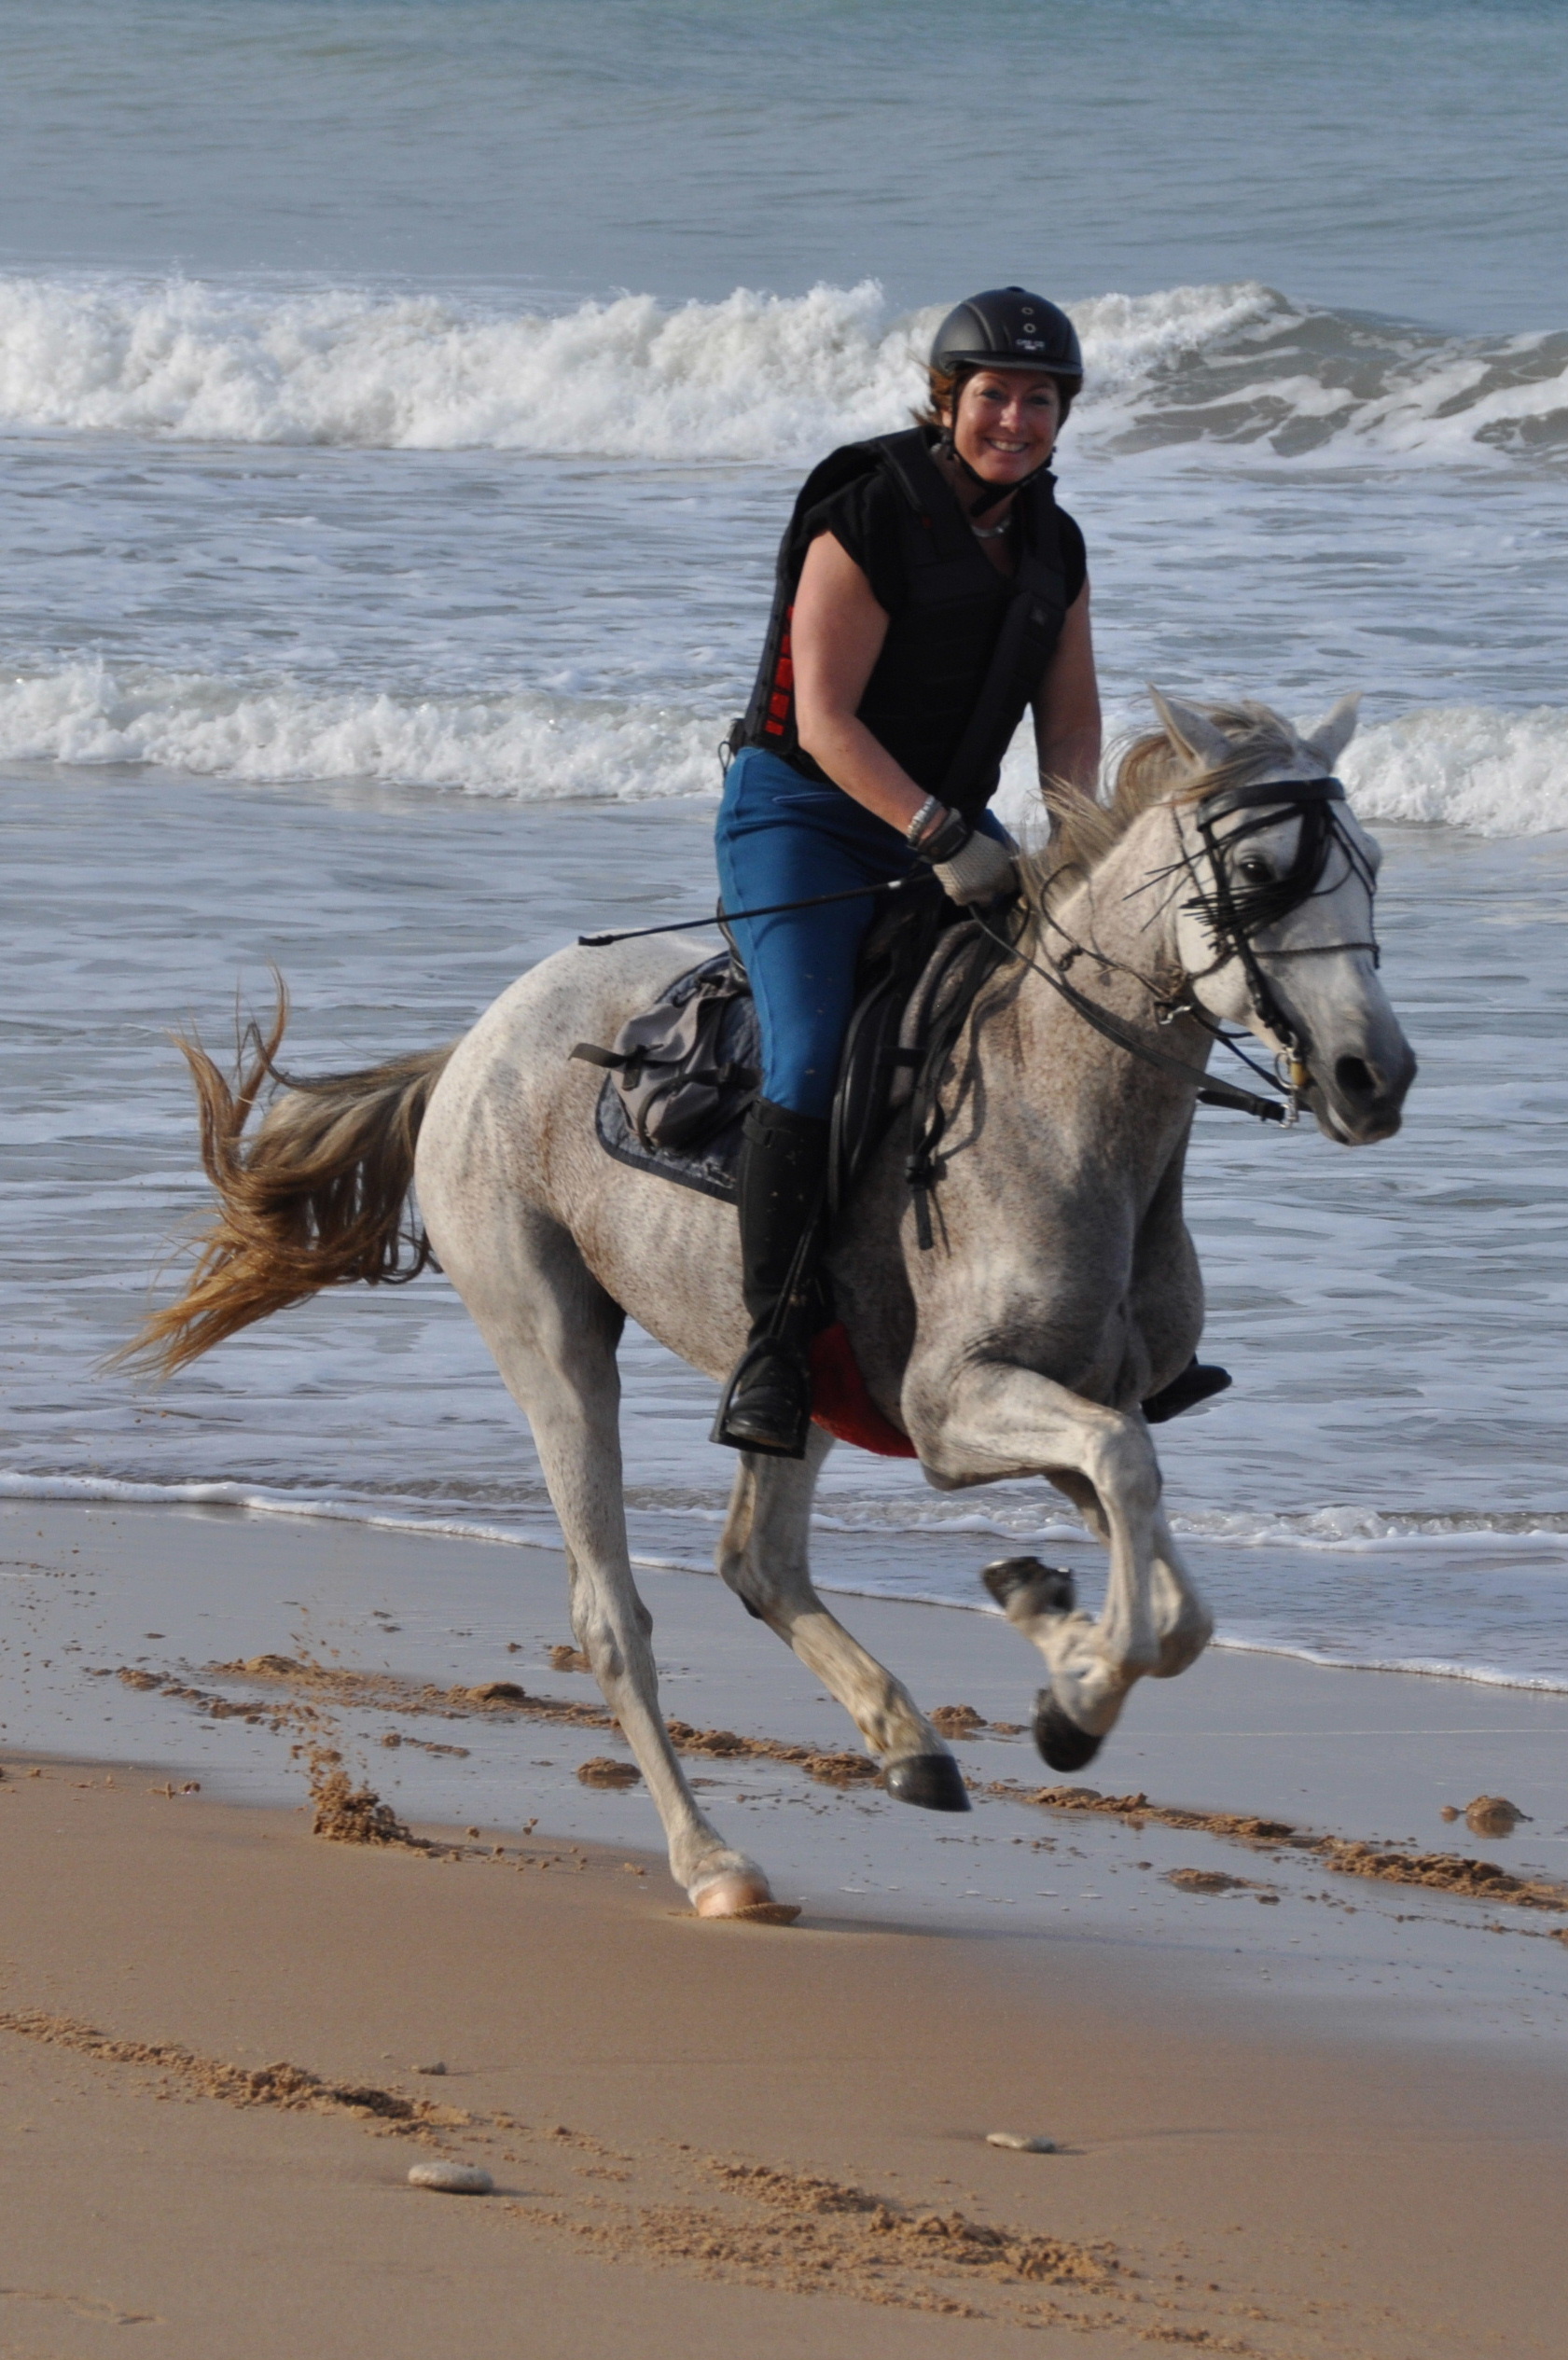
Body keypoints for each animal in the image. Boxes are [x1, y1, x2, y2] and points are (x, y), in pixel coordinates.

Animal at [137, 684, 1416, 1916]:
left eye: (1369, 863)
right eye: (1257, 869)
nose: (1376, 1077)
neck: (1068, 1111)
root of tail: (472, 1046)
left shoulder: (1080, 1394)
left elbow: (1171, 1587)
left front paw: (1054, 1636)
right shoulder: (952, 1410)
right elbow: (1132, 1494)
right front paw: (1077, 1683)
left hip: (801, 1380)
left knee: (758, 1559)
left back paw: (908, 1743)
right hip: (553, 1342)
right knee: (612, 1617)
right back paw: (712, 1862)